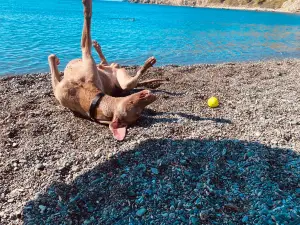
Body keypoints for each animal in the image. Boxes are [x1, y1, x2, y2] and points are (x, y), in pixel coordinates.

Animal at [48, 0, 162, 141]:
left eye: (138, 113)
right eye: (134, 107)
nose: (152, 97)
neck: (90, 98)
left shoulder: (85, 57)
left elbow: (86, 28)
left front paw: (87, 5)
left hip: (123, 81)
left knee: (132, 77)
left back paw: (147, 64)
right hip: (110, 69)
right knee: (105, 63)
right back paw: (99, 49)